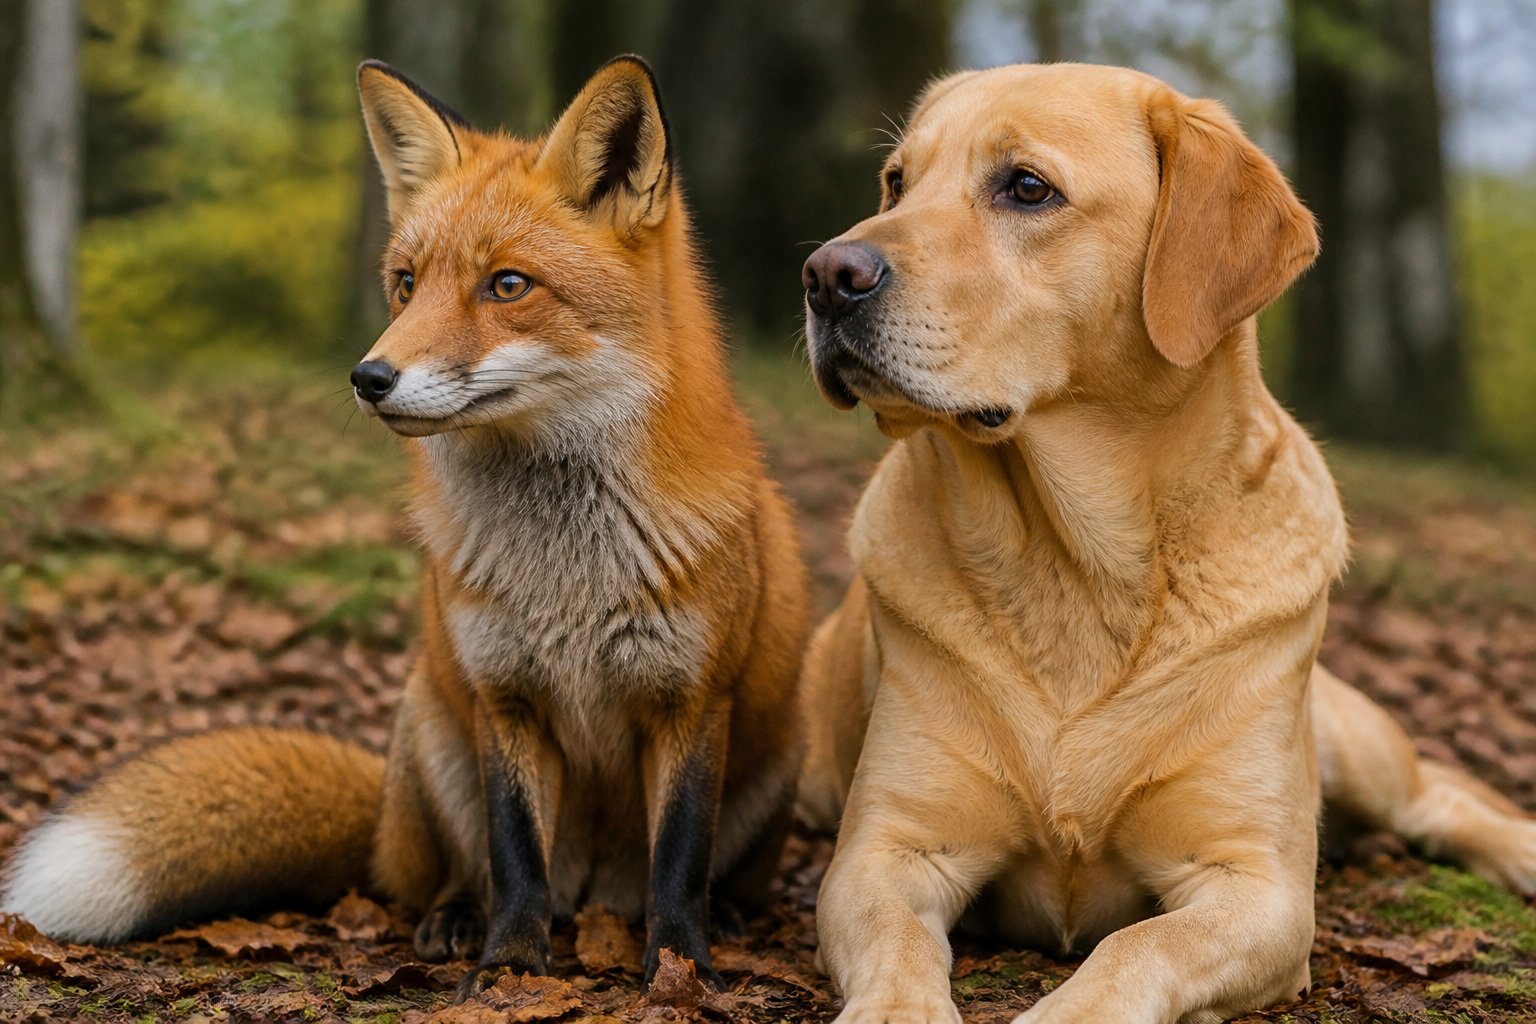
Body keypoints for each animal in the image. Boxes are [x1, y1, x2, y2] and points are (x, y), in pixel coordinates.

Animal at [1, 56, 809, 998]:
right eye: (406, 283)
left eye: (507, 285)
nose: (369, 377)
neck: (565, 576)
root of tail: (595, 899)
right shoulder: (505, 695)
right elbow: (514, 854)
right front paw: (507, 969)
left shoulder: (690, 701)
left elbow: (678, 859)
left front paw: (682, 966)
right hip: (434, 726)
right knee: (451, 873)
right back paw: (454, 919)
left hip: (772, 758)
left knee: (696, 874)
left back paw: (723, 919)